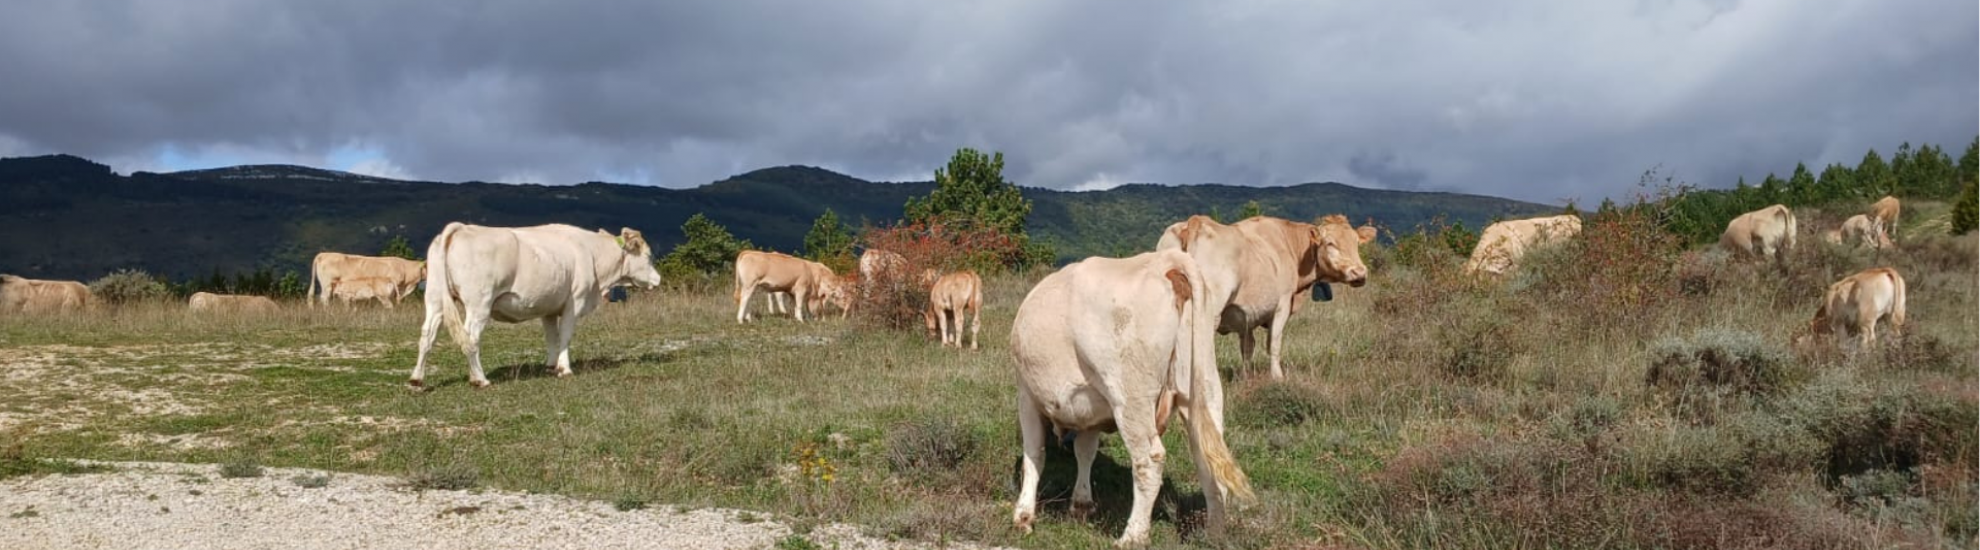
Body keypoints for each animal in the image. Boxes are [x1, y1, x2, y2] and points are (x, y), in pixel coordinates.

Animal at [405, 221, 661, 389]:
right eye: (648, 256)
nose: (658, 279)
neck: (592, 254)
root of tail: (461, 228)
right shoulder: (574, 302)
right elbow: (565, 336)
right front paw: (565, 369)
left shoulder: (549, 307)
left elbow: (551, 337)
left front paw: (550, 366)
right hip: (479, 304)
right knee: (470, 338)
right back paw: (479, 379)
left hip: (435, 298)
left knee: (427, 335)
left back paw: (417, 379)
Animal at [1156, 213, 1370, 377]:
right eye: (1330, 243)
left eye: (1357, 242)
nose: (1359, 273)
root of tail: (1195, 222)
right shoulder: (1283, 304)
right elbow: (1274, 343)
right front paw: (1277, 377)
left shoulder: (1246, 316)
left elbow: (1247, 347)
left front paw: (1245, 377)